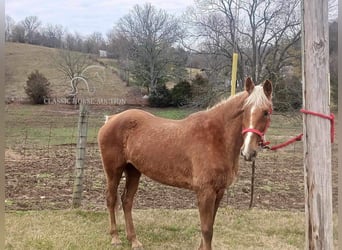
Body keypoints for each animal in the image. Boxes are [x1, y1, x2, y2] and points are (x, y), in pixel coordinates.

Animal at [98, 77, 272, 249]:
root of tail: (111, 119)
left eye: (266, 112)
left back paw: (134, 240)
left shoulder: (219, 191)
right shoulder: (205, 192)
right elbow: (207, 230)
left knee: (127, 201)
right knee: (111, 199)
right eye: (244, 110)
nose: (248, 152)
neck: (217, 138)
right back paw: (115, 238)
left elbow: (210, 226)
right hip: (113, 170)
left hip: (133, 170)